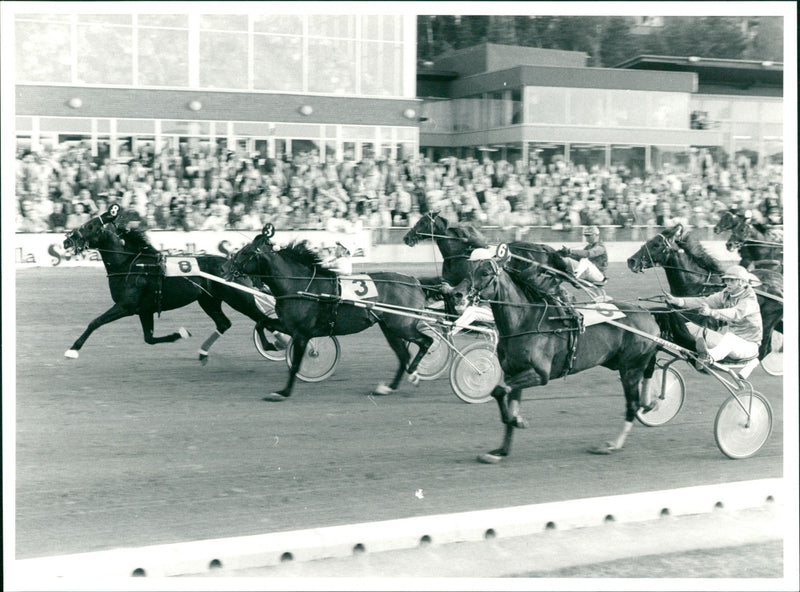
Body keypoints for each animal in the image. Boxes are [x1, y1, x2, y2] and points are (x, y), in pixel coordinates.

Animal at [228, 224, 434, 400]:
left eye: (245, 252)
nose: (226, 267)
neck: (300, 285)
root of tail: (414, 281)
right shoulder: (288, 325)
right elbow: (261, 323)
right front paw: (272, 345)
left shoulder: (301, 333)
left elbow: (295, 365)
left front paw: (283, 392)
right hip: (390, 328)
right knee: (403, 355)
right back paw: (388, 388)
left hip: (401, 325)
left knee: (426, 342)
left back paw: (414, 373)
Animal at [466, 252, 660, 460]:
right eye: (471, 271)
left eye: (485, 273)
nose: (459, 294)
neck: (525, 322)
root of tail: (648, 314)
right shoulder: (514, 372)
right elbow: (507, 397)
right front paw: (502, 449)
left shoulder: (540, 374)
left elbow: (499, 390)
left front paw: (516, 420)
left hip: (630, 369)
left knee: (632, 405)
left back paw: (613, 445)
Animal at [624, 223, 780, 358]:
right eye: (649, 241)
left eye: (656, 245)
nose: (631, 261)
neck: (697, 284)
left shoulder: (706, 325)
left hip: (766, 321)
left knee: (763, 350)